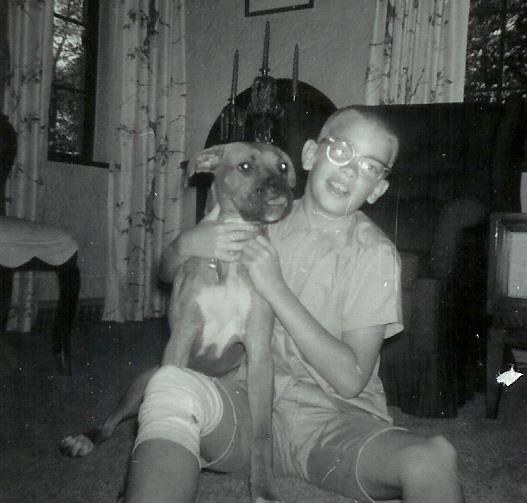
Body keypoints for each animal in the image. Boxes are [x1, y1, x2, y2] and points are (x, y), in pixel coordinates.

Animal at [60, 142, 296, 503]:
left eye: (283, 166)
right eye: (245, 166)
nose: (279, 188)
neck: (231, 258)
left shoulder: (258, 354)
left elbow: (262, 435)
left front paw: (263, 488)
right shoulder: (182, 338)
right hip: (143, 382)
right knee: (115, 422)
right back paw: (86, 438)